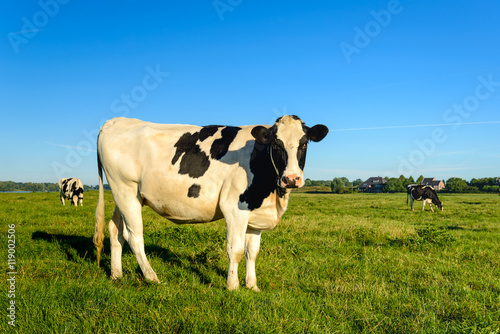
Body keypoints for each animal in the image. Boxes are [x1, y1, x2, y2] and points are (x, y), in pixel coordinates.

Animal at [93, 115, 328, 290]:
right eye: (276, 145)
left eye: (304, 144)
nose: (292, 179)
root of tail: (116, 121)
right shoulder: (234, 208)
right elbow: (235, 249)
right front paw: (233, 286)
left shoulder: (255, 211)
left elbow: (252, 251)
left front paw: (252, 286)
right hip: (125, 189)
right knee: (134, 236)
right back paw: (152, 277)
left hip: (125, 195)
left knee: (115, 230)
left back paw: (116, 274)